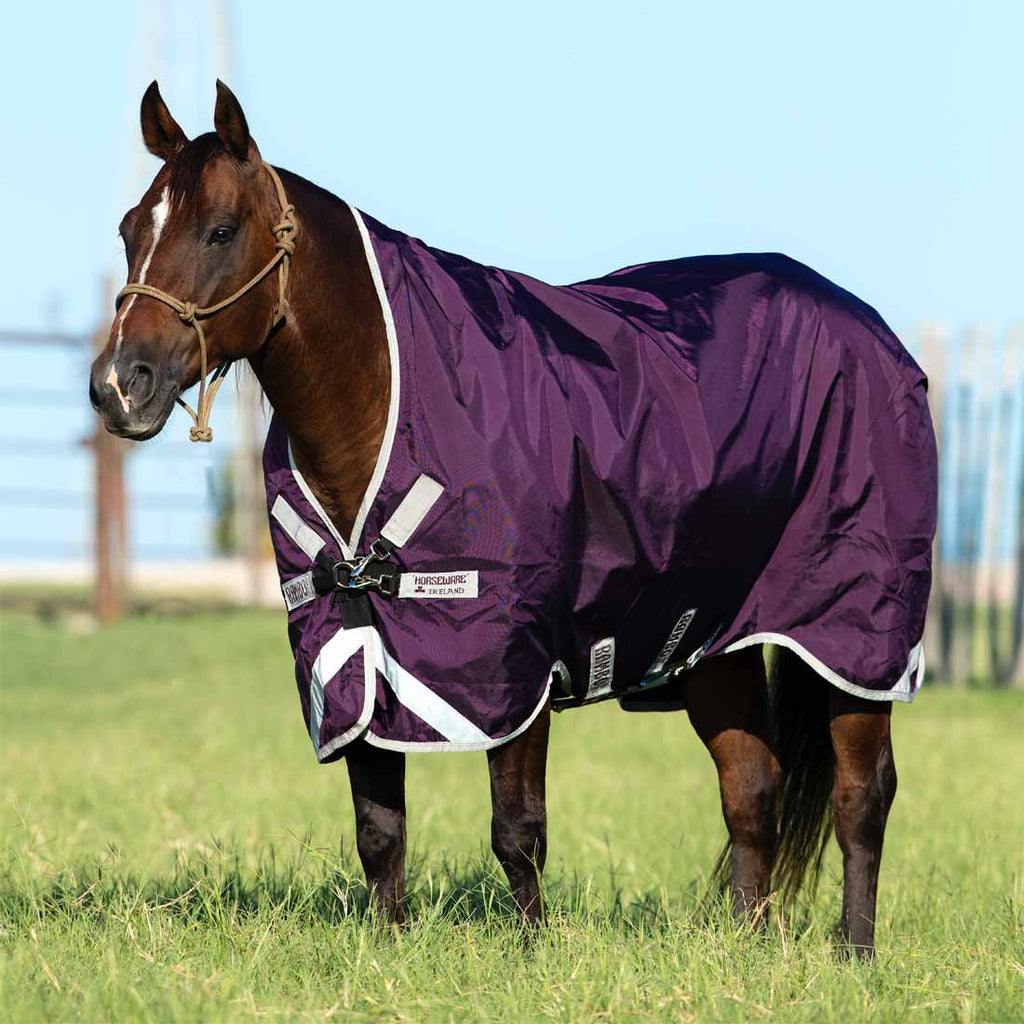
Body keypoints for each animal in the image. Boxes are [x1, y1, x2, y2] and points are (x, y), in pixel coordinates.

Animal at [90, 81, 937, 959]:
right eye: (129, 229)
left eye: (220, 230)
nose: (119, 385)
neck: (390, 395)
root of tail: (871, 329)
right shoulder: (351, 654)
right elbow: (379, 831)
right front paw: (387, 950)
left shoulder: (514, 665)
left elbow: (516, 830)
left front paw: (531, 955)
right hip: (715, 641)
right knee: (752, 789)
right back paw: (743, 947)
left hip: (853, 632)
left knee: (860, 794)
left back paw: (855, 952)